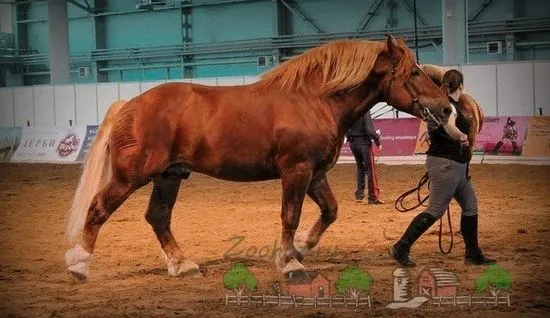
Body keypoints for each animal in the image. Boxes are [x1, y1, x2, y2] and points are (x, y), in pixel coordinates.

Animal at [66, 36, 452, 282]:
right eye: (413, 72)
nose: (446, 108)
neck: (313, 99)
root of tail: (129, 105)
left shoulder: (315, 174)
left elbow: (329, 211)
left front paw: (300, 249)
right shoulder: (296, 171)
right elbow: (290, 215)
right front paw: (290, 264)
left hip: (169, 176)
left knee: (158, 217)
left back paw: (182, 264)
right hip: (132, 176)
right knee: (98, 209)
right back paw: (79, 266)